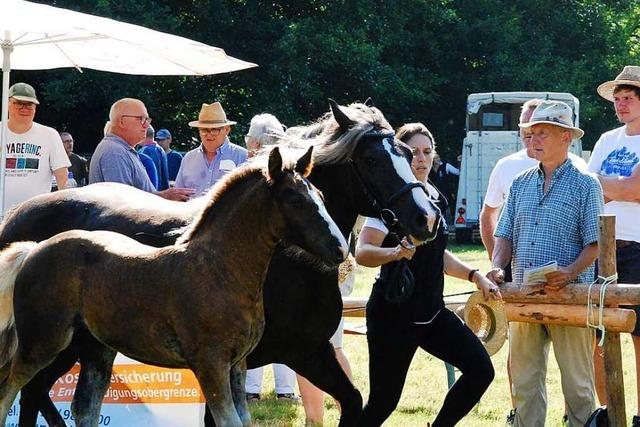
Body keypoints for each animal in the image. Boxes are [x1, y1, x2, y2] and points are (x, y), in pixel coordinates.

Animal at [1, 99, 440, 424]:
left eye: (407, 152)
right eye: (371, 160)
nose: (426, 217)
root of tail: (18, 218)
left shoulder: (307, 352)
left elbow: (352, 402)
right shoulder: (238, 361)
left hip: (84, 346)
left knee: (40, 394)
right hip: (56, 343)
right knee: (30, 391)